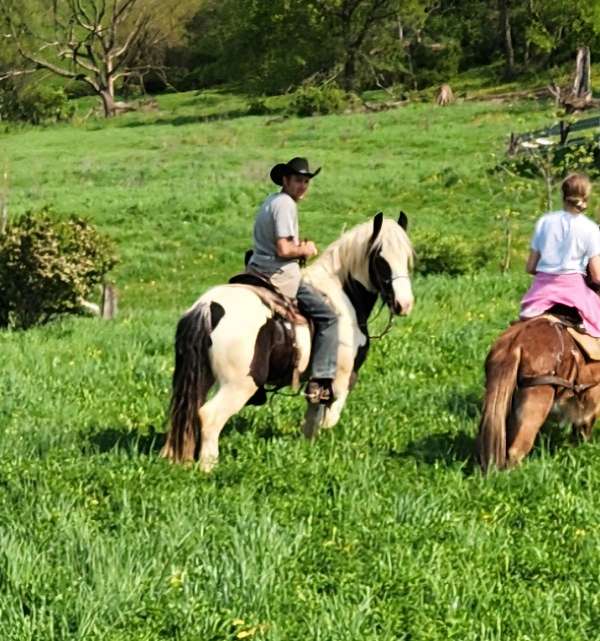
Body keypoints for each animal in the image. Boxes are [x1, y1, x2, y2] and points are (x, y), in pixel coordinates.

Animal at [162, 212, 414, 468]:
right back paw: (208, 467)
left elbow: (312, 417)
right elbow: (329, 417)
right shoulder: (343, 378)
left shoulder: (317, 382)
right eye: (380, 260)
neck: (342, 294)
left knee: (188, 409)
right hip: (239, 385)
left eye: (406, 257)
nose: (404, 304)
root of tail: (210, 306)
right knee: (209, 416)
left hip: (202, 378)